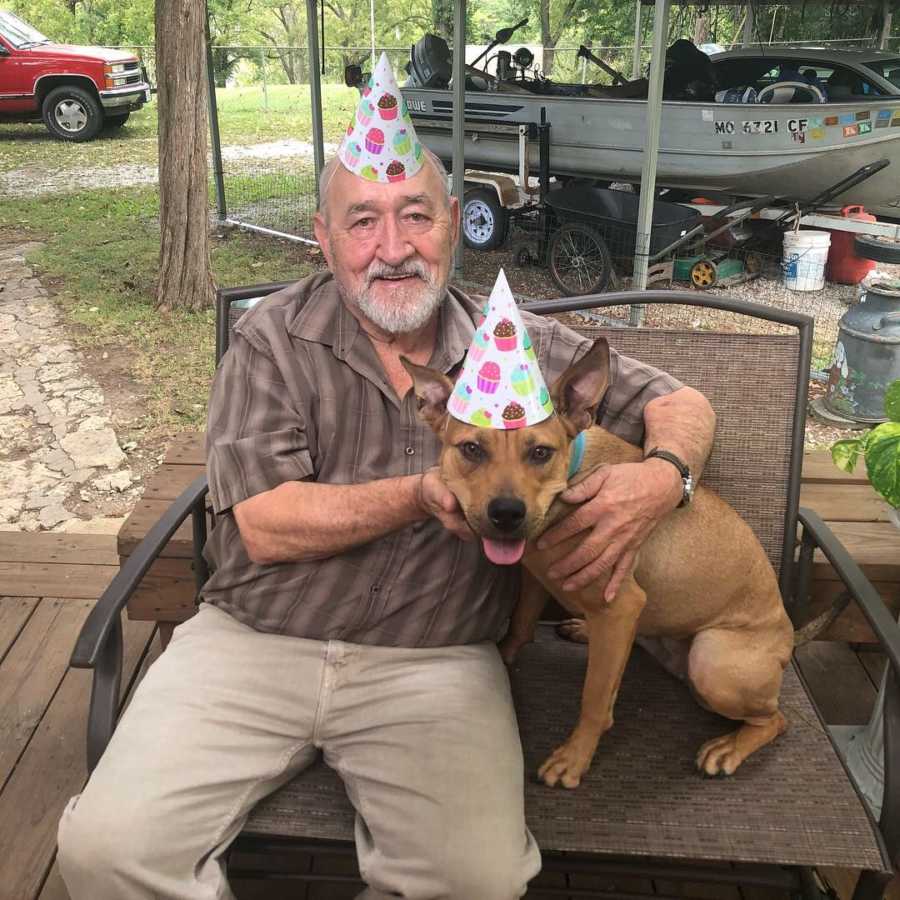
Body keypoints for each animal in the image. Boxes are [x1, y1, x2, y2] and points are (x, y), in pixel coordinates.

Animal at [404, 342, 792, 792]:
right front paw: (506, 653)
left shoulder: (621, 606)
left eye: (540, 452)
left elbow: (593, 697)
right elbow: (521, 623)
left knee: (776, 719)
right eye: (471, 449)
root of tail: (788, 638)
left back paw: (729, 748)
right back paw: (584, 628)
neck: (570, 479)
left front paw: (573, 759)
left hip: (712, 662)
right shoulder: (536, 578)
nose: (507, 513)